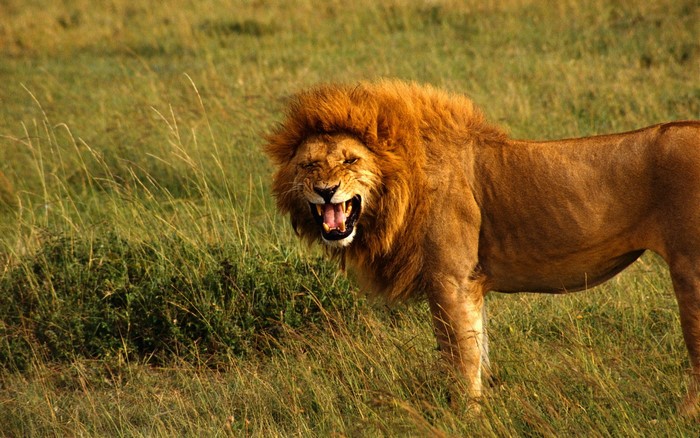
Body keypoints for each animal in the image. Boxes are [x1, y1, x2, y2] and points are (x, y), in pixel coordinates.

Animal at [264, 79, 700, 415]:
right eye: (309, 166)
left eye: (351, 160)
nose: (326, 191)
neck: (400, 187)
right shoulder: (470, 285)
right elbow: (478, 349)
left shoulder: (450, 280)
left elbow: (460, 357)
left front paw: (464, 416)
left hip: (690, 271)